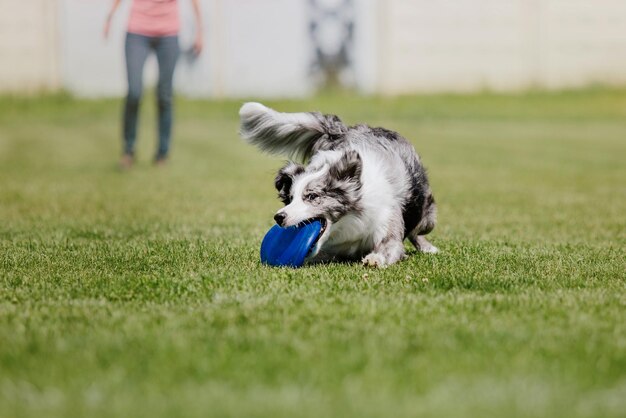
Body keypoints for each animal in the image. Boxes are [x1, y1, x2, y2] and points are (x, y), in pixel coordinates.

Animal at [236, 101, 436, 268]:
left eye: (312, 196)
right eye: (290, 199)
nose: (279, 217)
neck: (349, 222)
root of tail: (340, 130)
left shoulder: (387, 222)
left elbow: (390, 245)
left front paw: (375, 259)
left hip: (426, 215)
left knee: (417, 229)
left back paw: (428, 248)